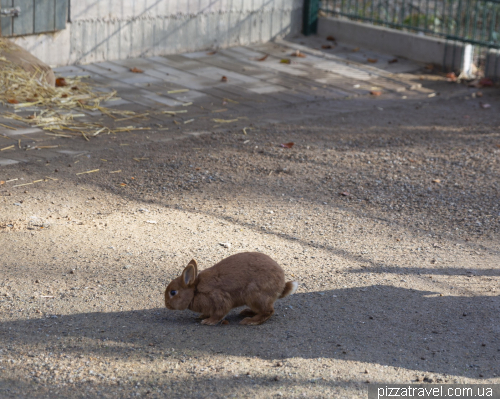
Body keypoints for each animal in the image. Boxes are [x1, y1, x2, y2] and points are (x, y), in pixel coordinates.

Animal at [164, 255, 296, 326]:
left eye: (173, 292)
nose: (166, 305)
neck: (194, 292)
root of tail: (281, 285)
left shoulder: (219, 298)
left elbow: (220, 313)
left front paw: (208, 321)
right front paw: (202, 316)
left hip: (255, 296)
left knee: (268, 311)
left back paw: (249, 321)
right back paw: (246, 312)